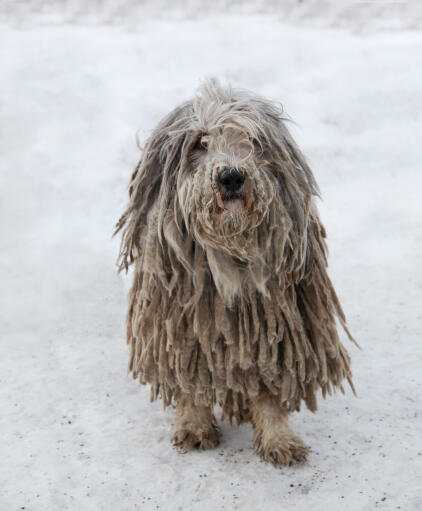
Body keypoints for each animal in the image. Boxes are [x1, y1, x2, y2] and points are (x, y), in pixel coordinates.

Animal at [115, 81, 356, 468]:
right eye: (200, 142)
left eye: (253, 141)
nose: (231, 176)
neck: (229, 246)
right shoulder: (180, 324)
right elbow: (189, 380)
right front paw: (194, 426)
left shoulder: (276, 326)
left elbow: (271, 387)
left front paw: (278, 440)